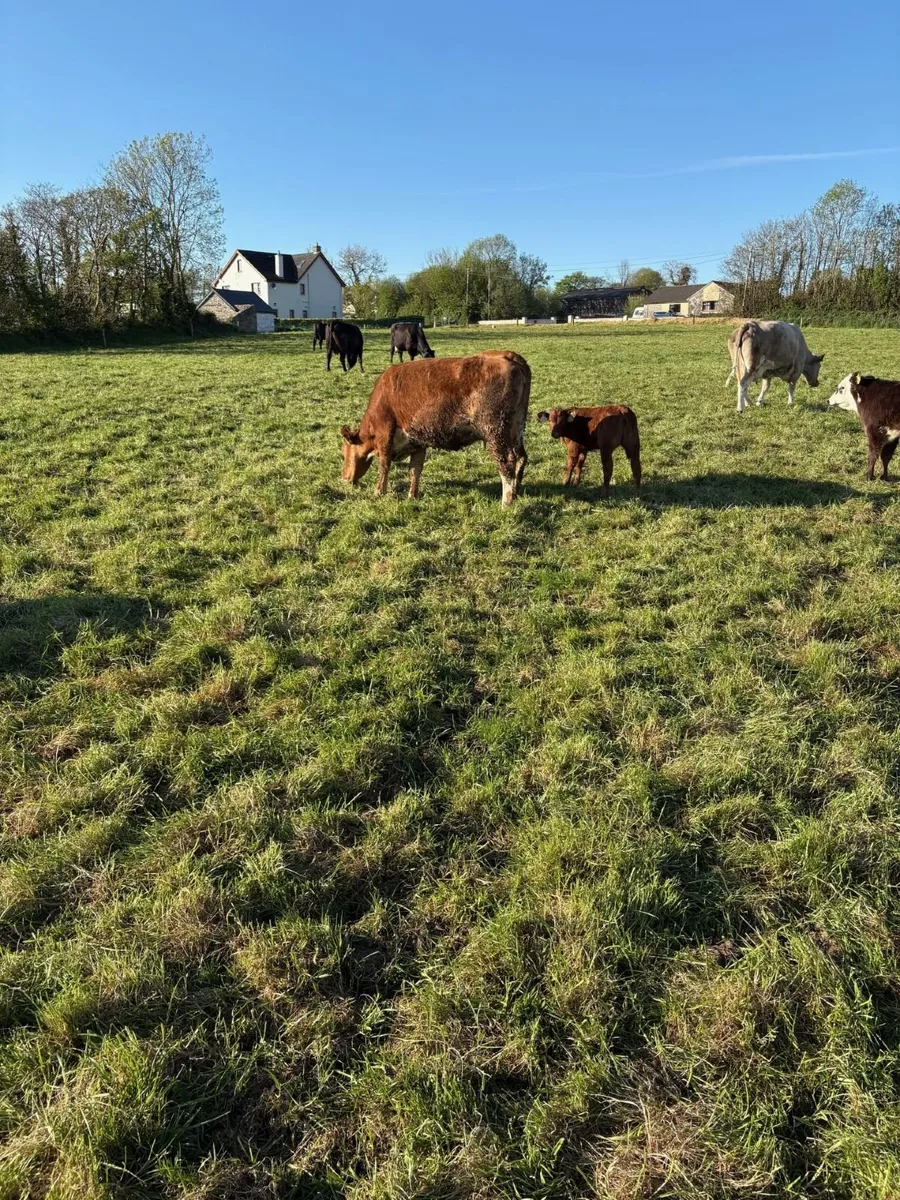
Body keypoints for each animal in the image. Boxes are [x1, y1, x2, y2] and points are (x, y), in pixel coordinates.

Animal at [340, 351, 530, 507]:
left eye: (344, 452)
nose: (344, 477)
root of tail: (508, 356)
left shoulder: (385, 434)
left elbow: (384, 465)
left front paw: (379, 492)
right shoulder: (417, 442)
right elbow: (415, 470)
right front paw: (412, 496)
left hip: (495, 431)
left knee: (506, 462)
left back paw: (506, 502)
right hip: (516, 428)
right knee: (521, 457)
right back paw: (516, 493)